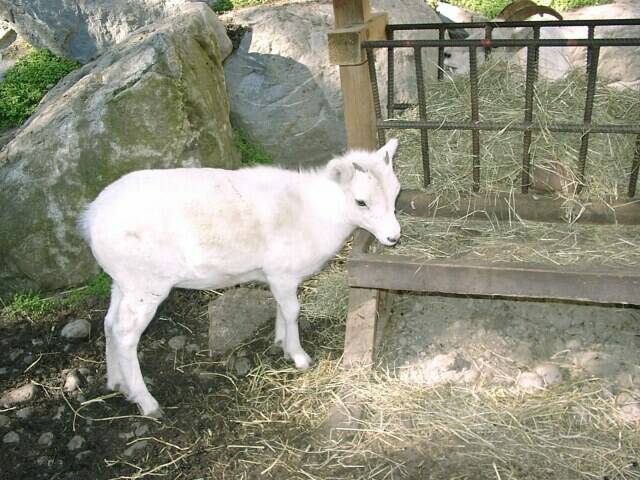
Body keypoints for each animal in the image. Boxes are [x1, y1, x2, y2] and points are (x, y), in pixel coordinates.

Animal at [80, 138, 402, 417]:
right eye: (361, 202)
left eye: (397, 191)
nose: (394, 237)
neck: (314, 214)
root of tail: (90, 219)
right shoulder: (283, 272)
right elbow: (292, 311)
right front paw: (298, 356)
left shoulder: (276, 275)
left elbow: (281, 308)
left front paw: (279, 342)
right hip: (146, 285)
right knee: (125, 334)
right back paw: (147, 402)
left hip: (123, 281)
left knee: (110, 323)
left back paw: (116, 383)